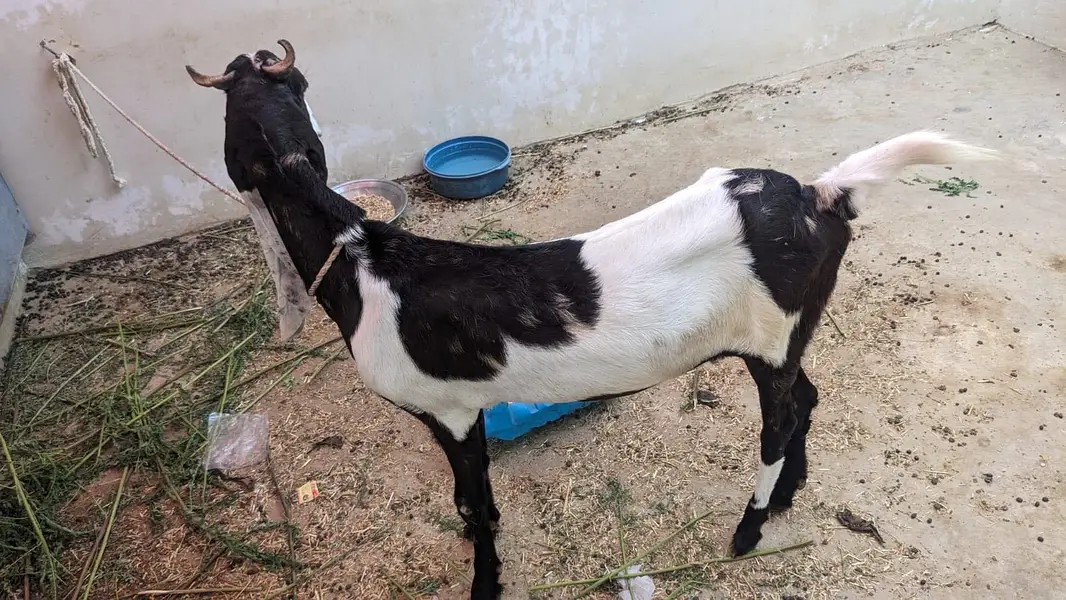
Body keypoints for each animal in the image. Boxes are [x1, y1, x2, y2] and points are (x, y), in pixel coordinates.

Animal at [187, 40, 995, 599]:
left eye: (226, 121)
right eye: (273, 95)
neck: (362, 260)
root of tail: (821, 194)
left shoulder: (450, 411)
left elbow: (478, 503)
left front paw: (485, 580)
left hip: (772, 336)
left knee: (778, 422)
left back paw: (748, 527)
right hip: (780, 336)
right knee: (806, 397)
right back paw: (789, 493)